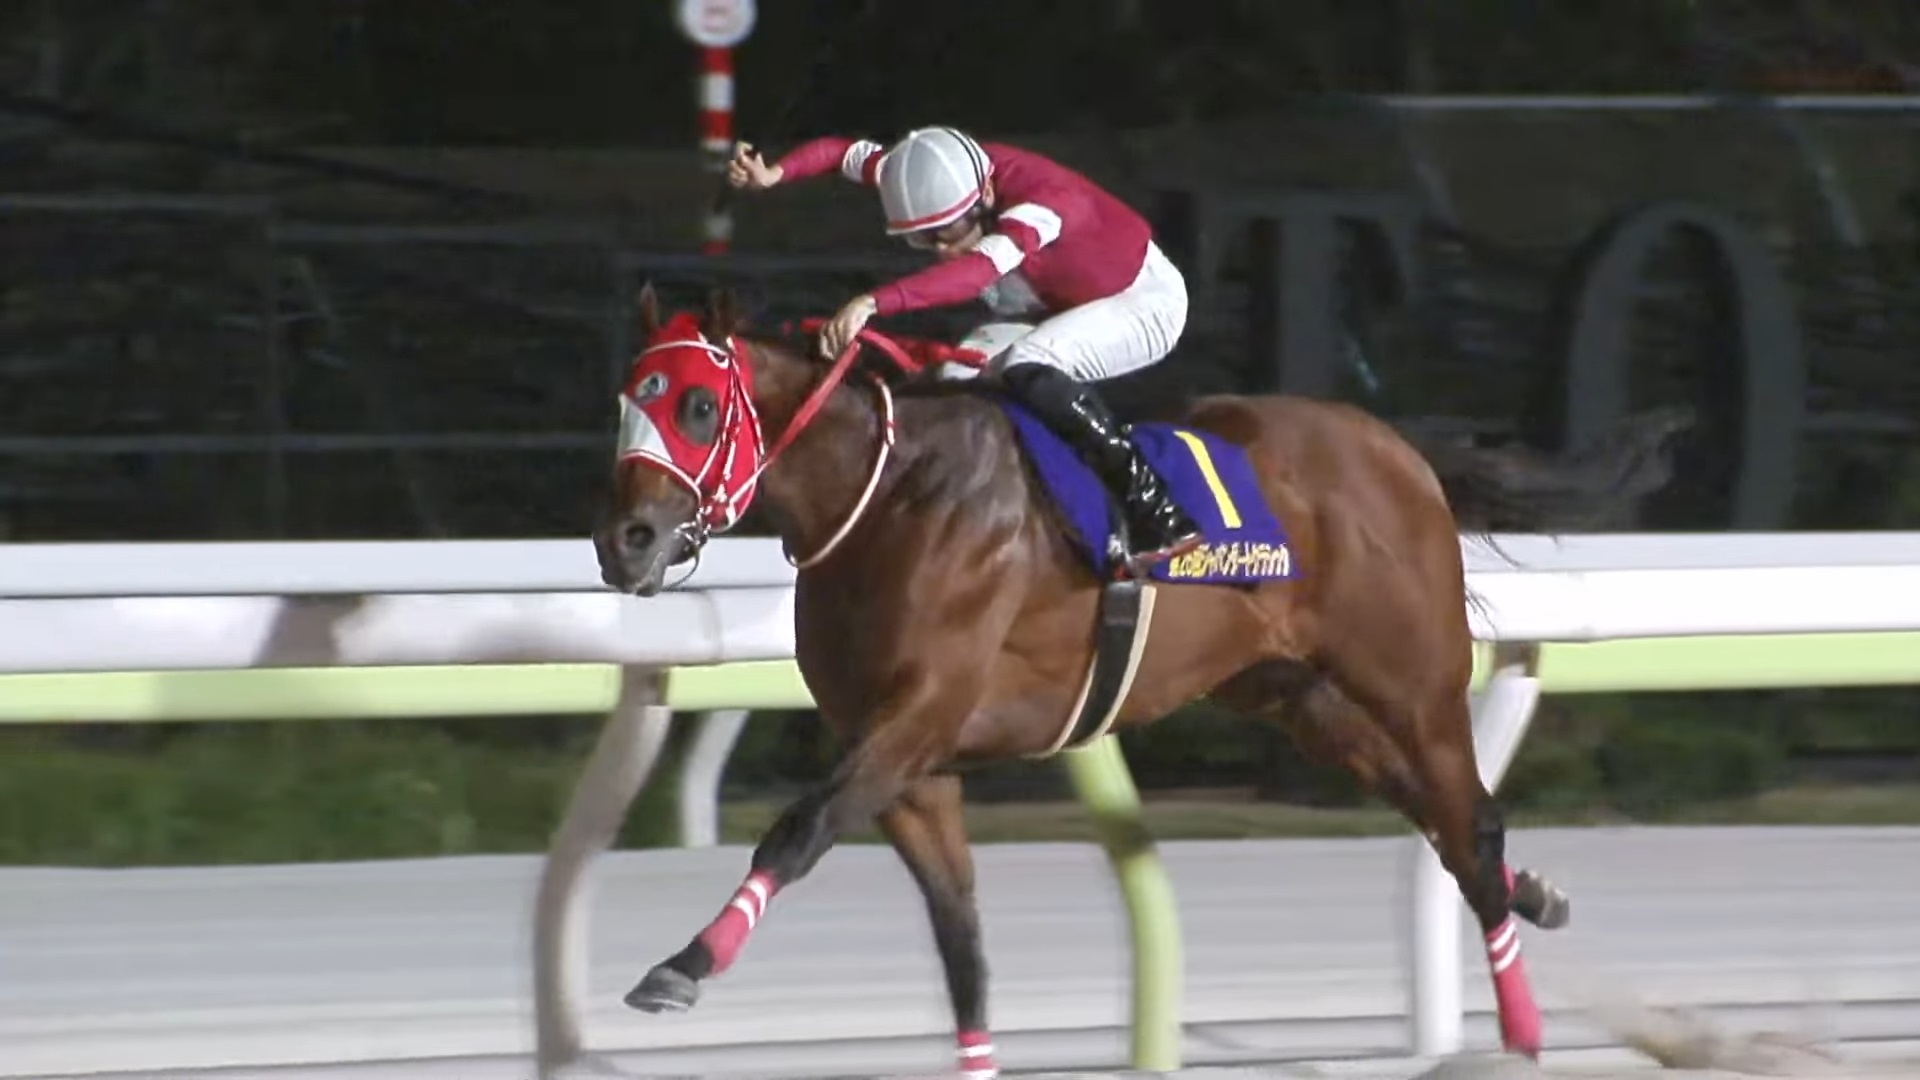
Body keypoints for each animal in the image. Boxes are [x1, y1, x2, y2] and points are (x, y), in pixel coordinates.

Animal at [591, 282, 1689, 1068]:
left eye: (698, 404)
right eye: (626, 404)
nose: (625, 542)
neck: (890, 492)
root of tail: (1401, 451)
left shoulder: (918, 717)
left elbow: (798, 826)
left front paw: (682, 966)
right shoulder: (914, 767)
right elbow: (962, 949)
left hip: (1411, 681)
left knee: (1471, 823)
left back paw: (1523, 1027)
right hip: (1303, 697)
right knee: (1443, 823)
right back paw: (1535, 894)